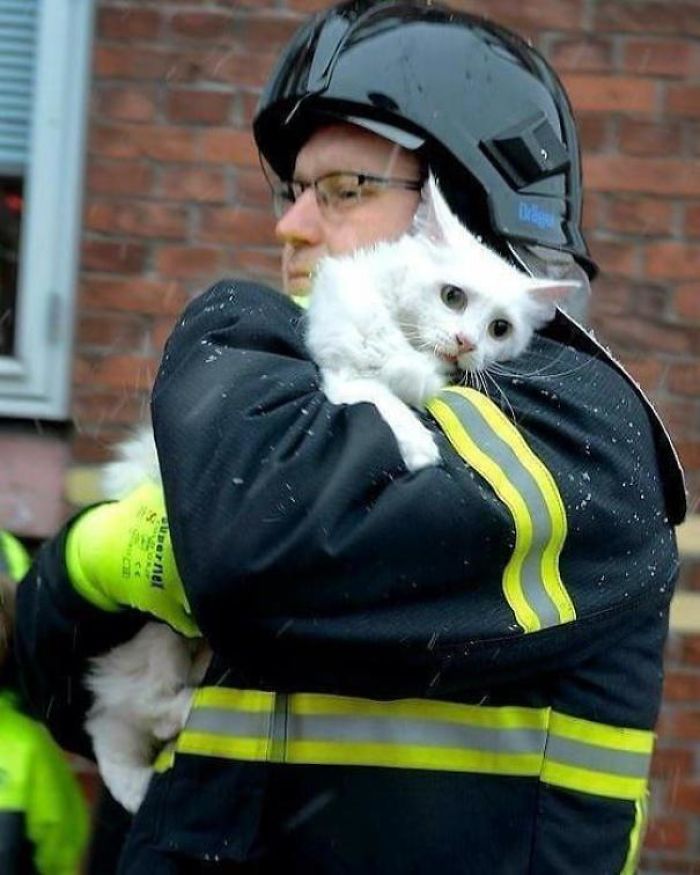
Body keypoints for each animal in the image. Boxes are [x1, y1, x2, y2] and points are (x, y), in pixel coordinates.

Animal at [85, 176, 584, 816]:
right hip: (153, 645)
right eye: (452, 297)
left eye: (501, 330)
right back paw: (149, 762)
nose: (466, 342)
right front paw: (418, 448)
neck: (406, 338)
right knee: (121, 714)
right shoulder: (342, 373)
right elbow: (382, 400)